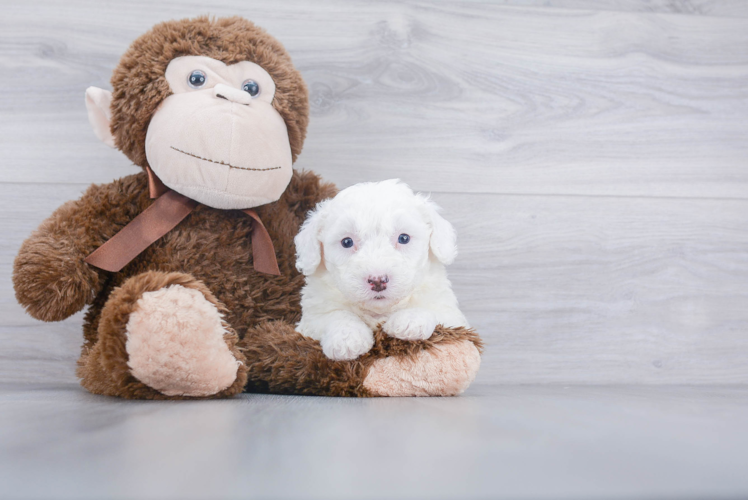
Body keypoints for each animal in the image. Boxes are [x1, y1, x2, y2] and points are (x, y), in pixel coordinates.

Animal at [292, 180, 468, 360]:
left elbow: (433, 310)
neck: (378, 312)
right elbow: (335, 315)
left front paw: (410, 320)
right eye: (347, 242)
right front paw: (347, 338)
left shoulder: (451, 316)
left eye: (404, 238)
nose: (377, 280)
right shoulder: (310, 320)